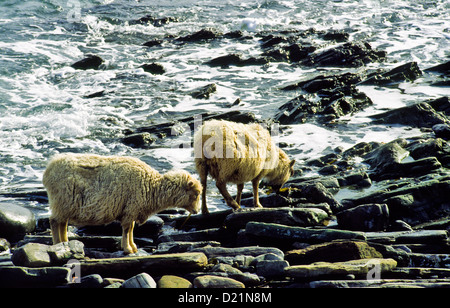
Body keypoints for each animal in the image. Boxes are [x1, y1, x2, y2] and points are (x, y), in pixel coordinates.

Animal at [43, 153, 201, 254]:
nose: (197, 211)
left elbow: (130, 229)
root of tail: (49, 169)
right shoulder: (131, 209)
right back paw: (58, 244)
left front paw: (132, 247)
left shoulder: (131, 210)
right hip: (62, 201)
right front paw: (128, 248)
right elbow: (127, 230)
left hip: (65, 206)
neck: (152, 186)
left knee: (62, 224)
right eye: (196, 194)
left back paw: (65, 243)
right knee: (54, 222)